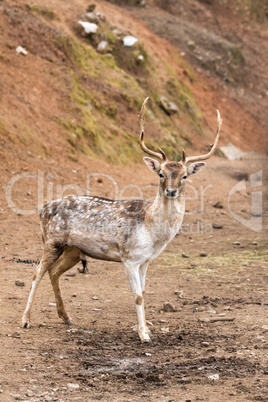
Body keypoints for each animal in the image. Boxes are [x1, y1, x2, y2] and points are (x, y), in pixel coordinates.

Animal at [22, 97, 222, 342]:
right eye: (161, 174)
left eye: (184, 176)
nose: (171, 191)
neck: (152, 231)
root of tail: (43, 208)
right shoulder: (129, 258)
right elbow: (137, 296)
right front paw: (143, 335)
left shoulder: (146, 260)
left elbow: (144, 292)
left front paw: (147, 329)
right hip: (52, 241)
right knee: (36, 273)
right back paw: (25, 320)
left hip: (73, 250)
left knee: (54, 272)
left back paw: (67, 317)